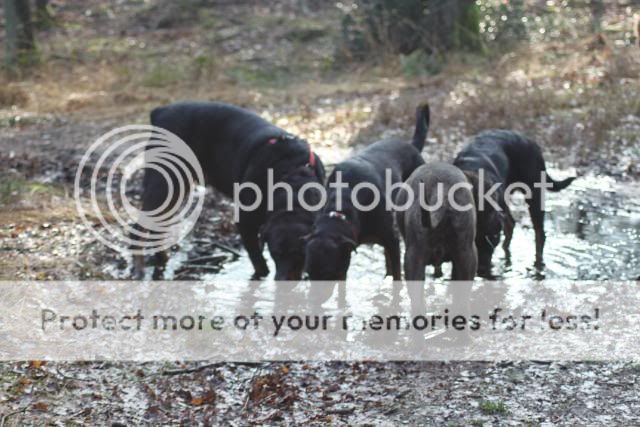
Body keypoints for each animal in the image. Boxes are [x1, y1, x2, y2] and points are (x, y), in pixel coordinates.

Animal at [134, 100, 324, 280]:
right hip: (163, 183)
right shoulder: (245, 223)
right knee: (140, 228)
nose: (282, 280)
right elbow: (259, 262)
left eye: (299, 255)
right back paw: (140, 270)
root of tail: (160, 112)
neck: (292, 175)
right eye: (274, 253)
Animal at [456, 130, 576, 276]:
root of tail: (529, 141)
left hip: (534, 194)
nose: (482, 270)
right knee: (511, 225)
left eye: (493, 239)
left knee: (539, 234)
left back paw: (537, 265)